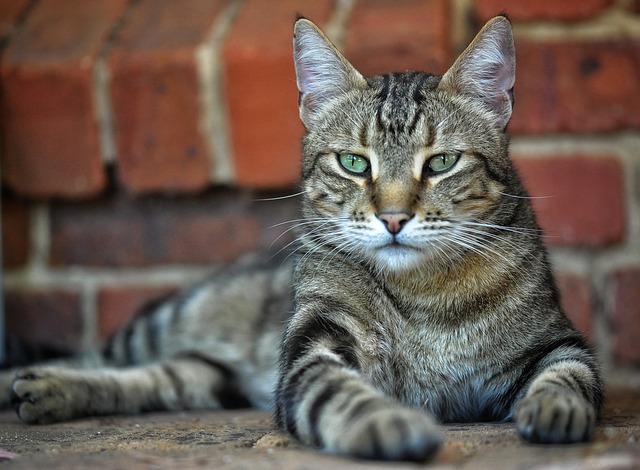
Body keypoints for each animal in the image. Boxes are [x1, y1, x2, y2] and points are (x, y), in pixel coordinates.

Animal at [0, 15, 604, 462]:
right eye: (354, 163)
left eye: (442, 163)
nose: (393, 218)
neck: (425, 297)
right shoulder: (315, 345)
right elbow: (338, 393)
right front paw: (386, 423)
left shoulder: (554, 341)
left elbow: (568, 375)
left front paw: (554, 411)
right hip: (167, 322)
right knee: (96, 354)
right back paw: (34, 382)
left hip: (212, 374)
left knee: (159, 377)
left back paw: (50, 392)